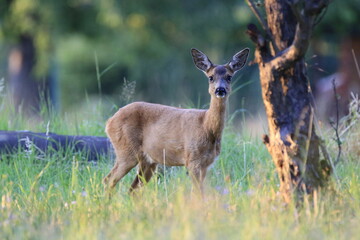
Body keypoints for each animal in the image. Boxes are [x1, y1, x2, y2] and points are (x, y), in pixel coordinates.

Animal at [103, 47, 250, 197]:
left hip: (147, 161)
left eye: (229, 77)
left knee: (132, 189)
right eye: (211, 77)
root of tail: (109, 122)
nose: (220, 89)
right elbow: (198, 193)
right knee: (109, 180)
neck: (206, 126)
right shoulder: (192, 159)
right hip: (126, 150)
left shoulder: (206, 164)